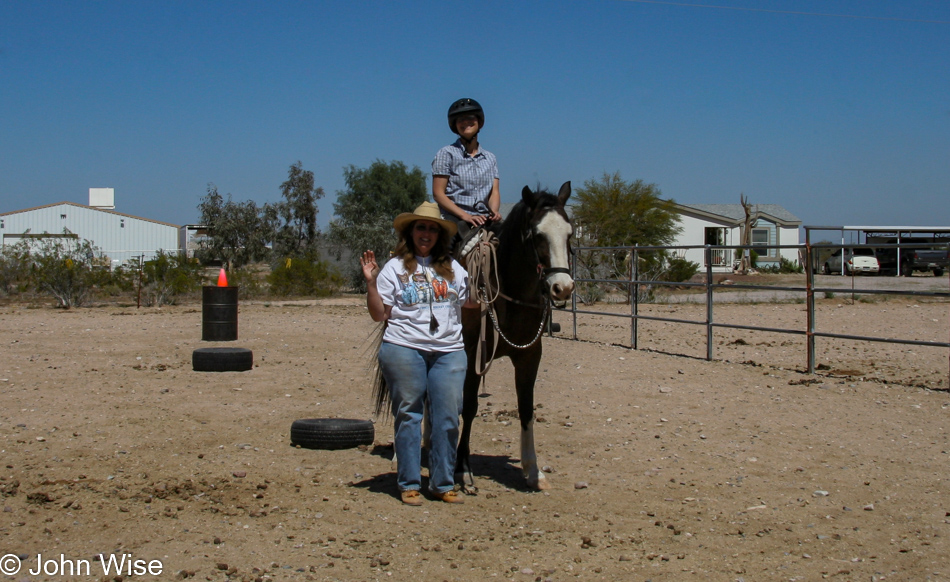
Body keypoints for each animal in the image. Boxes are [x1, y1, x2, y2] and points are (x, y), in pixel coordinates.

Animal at [460, 182, 576, 492]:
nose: (562, 288)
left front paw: (533, 471)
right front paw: (463, 471)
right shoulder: (474, 355)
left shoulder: (529, 356)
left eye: (569, 234)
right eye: (537, 235)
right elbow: (469, 406)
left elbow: (526, 408)